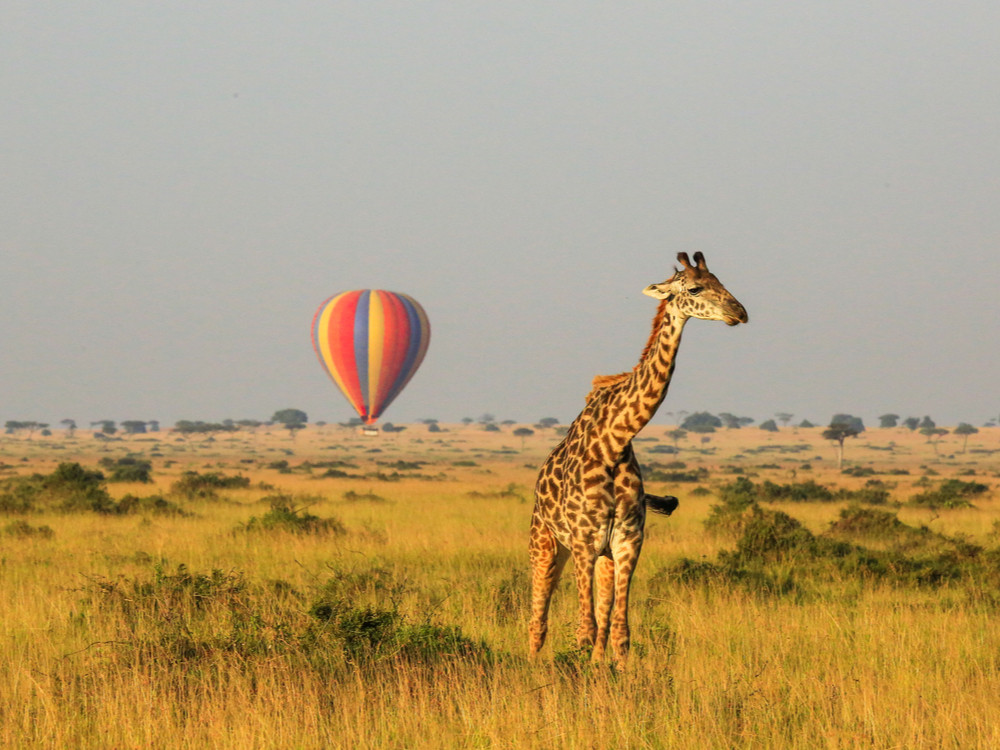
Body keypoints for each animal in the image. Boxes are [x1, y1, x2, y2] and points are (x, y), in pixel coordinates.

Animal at [528, 253, 748, 664]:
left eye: (722, 282)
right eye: (695, 288)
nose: (739, 312)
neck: (614, 441)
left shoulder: (627, 541)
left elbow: (618, 633)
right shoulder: (583, 541)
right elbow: (584, 631)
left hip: (601, 556)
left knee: (599, 622)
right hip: (545, 543)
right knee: (538, 619)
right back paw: (532, 665)